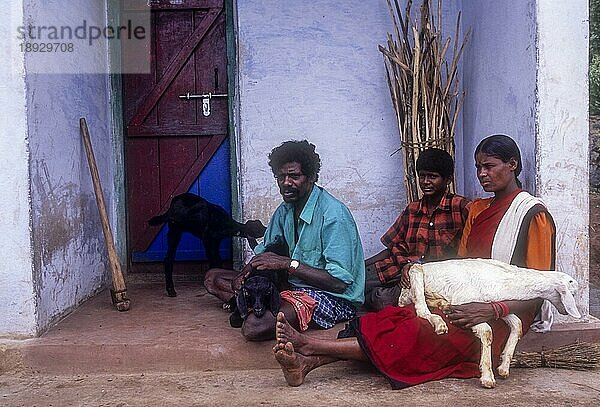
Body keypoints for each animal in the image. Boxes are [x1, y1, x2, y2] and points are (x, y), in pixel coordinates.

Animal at [398, 258, 580, 388]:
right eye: (572, 292)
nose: (568, 312)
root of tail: (401, 297)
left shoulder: (490, 304)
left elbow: (517, 324)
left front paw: (504, 368)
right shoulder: (462, 304)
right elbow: (487, 331)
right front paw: (487, 377)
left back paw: (440, 303)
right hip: (415, 274)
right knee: (421, 309)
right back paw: (439, 322)